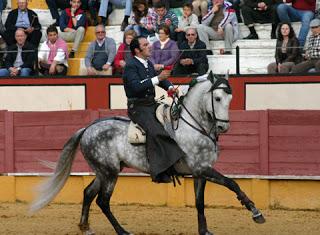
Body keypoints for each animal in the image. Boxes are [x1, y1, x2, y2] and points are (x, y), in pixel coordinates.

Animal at [31, 72, 264, 235]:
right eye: (217, 98)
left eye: (230, 97)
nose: (224, 127)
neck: (194, 125)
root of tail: (88, 128)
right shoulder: (203, 168)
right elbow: (232, 183)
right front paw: (255, 212)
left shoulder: (200, 172)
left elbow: (200, 202)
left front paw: (204, 230)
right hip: (110, 173)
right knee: (103, 201)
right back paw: (122, 231)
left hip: (103, 171)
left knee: (89, 193)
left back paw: (85, 227)